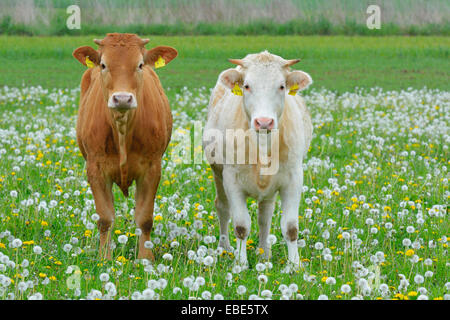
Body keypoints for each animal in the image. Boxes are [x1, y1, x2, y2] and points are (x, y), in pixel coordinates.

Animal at [72, 33, 176, 260]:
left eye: (139, 65)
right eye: (103, 64)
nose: (122, 98)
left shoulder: (151, 169)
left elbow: (144, 218)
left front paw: (146, 259)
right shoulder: (95, 169)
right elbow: (105, 218)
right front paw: (104, 258)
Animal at [203, 50, 312, 266]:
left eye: (281, 86)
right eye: (246, 86)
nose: (264, 122)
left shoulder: (294, 178)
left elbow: (290, 227)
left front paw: (294, 265)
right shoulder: (232, 179)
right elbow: (241, 226)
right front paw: (240, 264)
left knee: (265, 217)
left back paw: (264, 253)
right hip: (218, 174)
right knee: (223, 208)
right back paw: (224, 247)